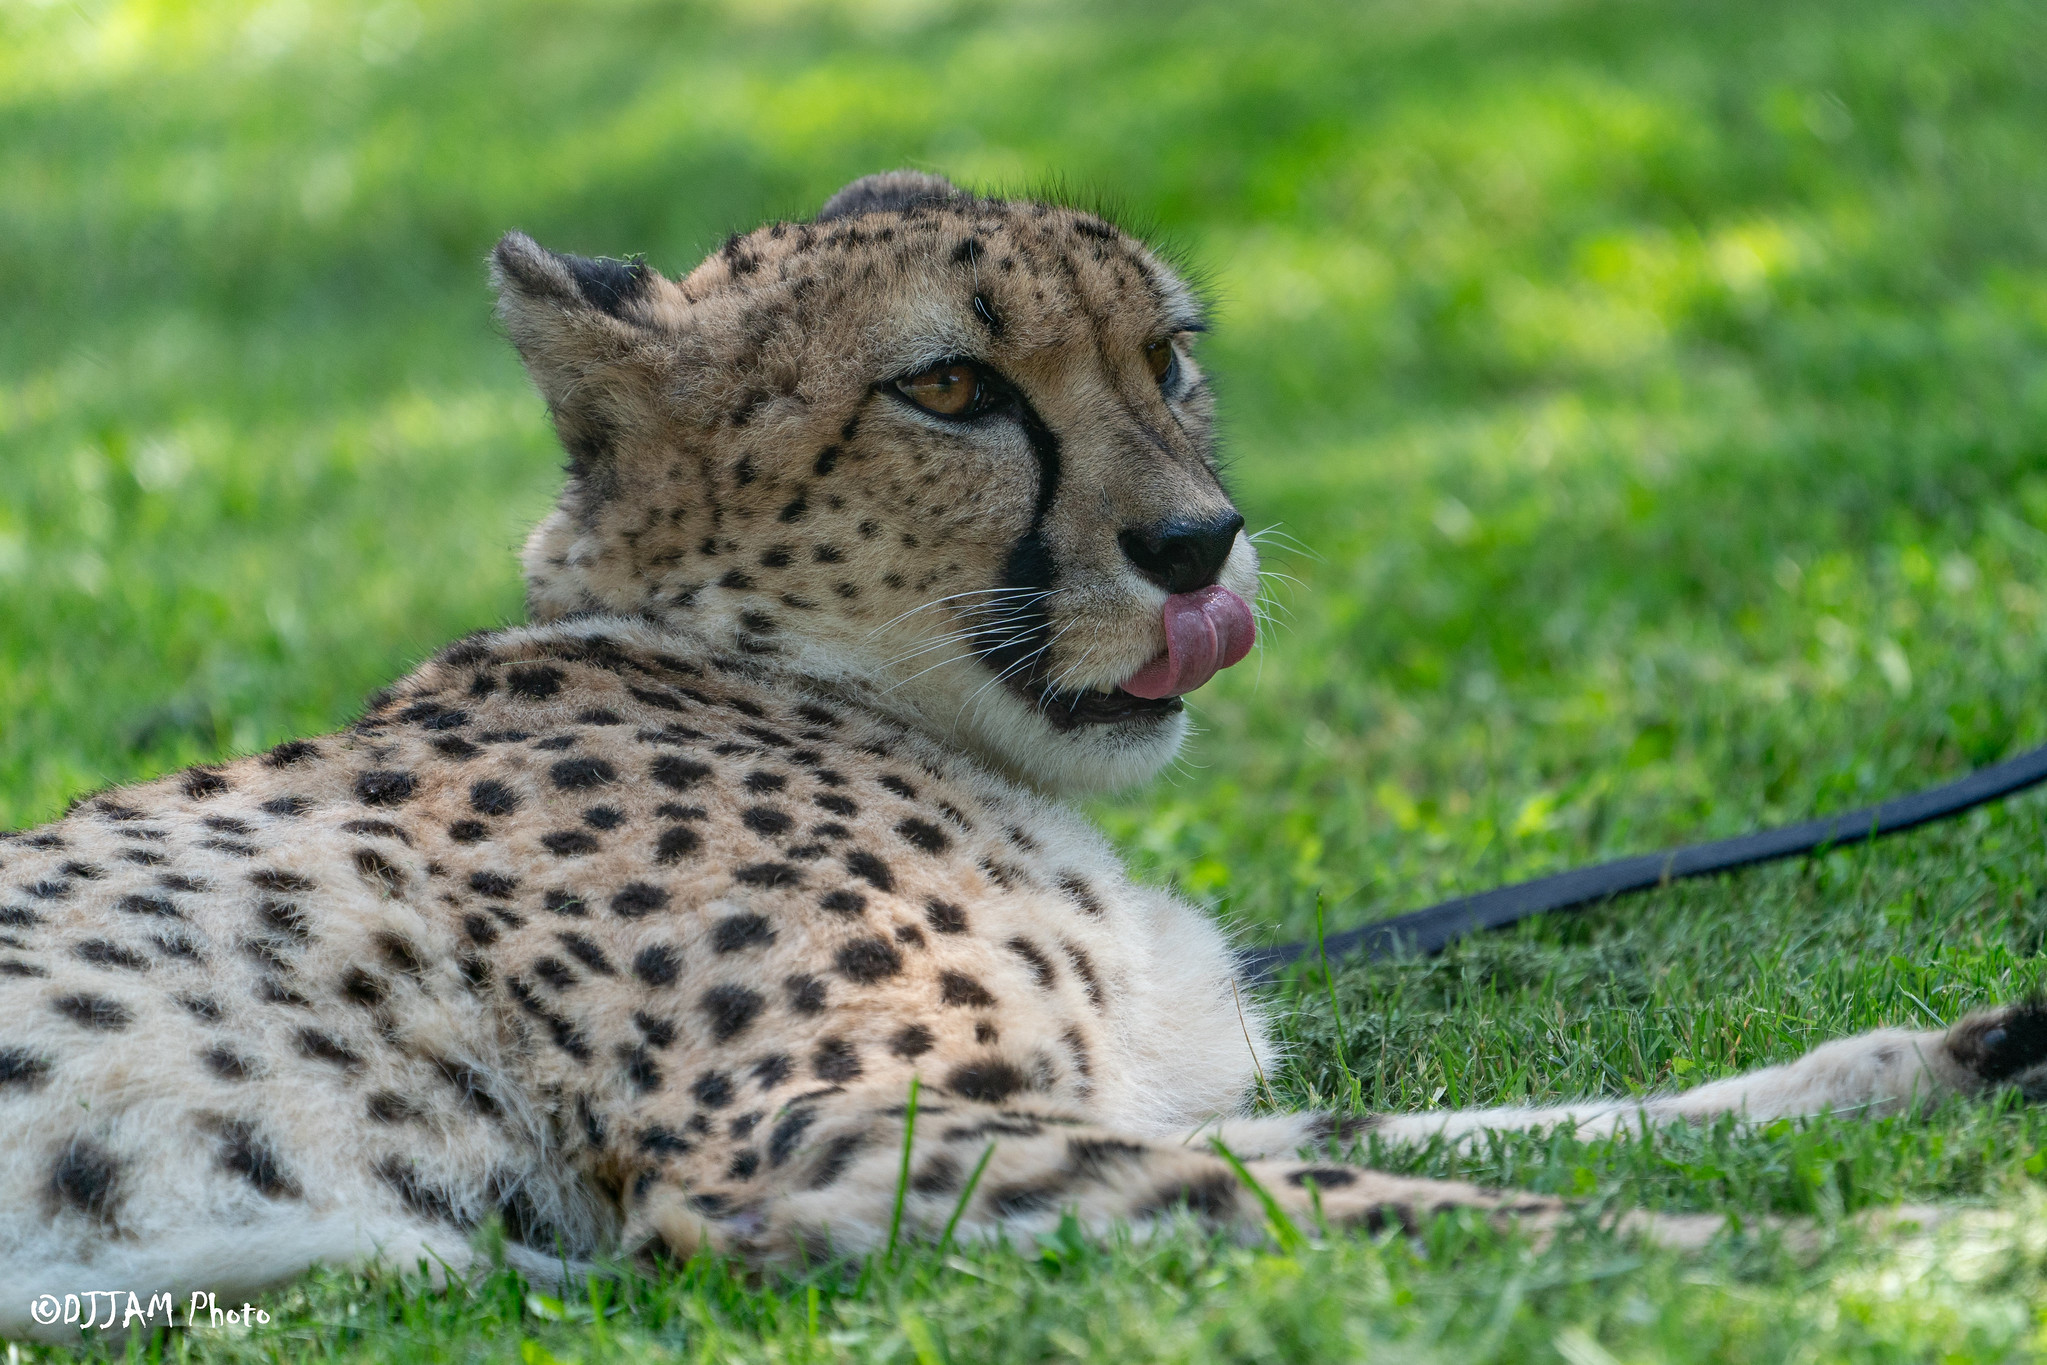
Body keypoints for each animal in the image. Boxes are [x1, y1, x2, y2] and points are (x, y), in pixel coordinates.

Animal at [4, 170, 2045, 1339]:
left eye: (1169, 358)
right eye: (948, 387)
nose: (1197, 546)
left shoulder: (1089, 1099)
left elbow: (1453, 1131)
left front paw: (1926, 1077)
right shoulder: (812, 1151)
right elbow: (1429, 1204)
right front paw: (1888, 1264)